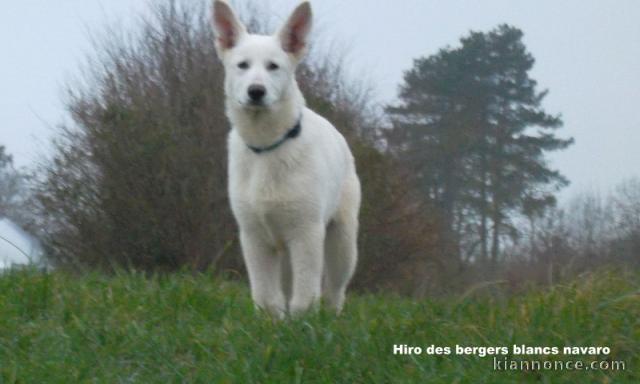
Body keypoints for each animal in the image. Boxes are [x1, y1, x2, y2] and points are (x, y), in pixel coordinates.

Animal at [211, 0, 358, 316]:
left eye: (273, 66)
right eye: (242, 65)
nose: (256, 91)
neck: (268, 146)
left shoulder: (306, 234)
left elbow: (304, 298)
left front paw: (304, 324)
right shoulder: (253, 236)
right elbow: (267, 297)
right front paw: (271, 323)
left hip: (342, 241)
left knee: (335, 290)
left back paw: (332, 317)